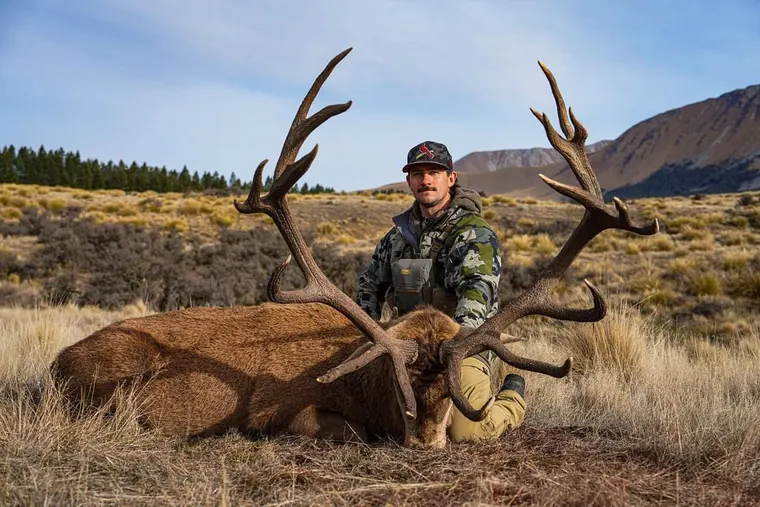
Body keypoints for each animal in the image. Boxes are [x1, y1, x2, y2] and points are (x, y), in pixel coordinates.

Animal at [50, 47, 658, 448]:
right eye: (400, 386)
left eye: (450, 393)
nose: (425, 441)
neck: (363, 385)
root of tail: (54, 365)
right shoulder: (285, 413)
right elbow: (342, 429)